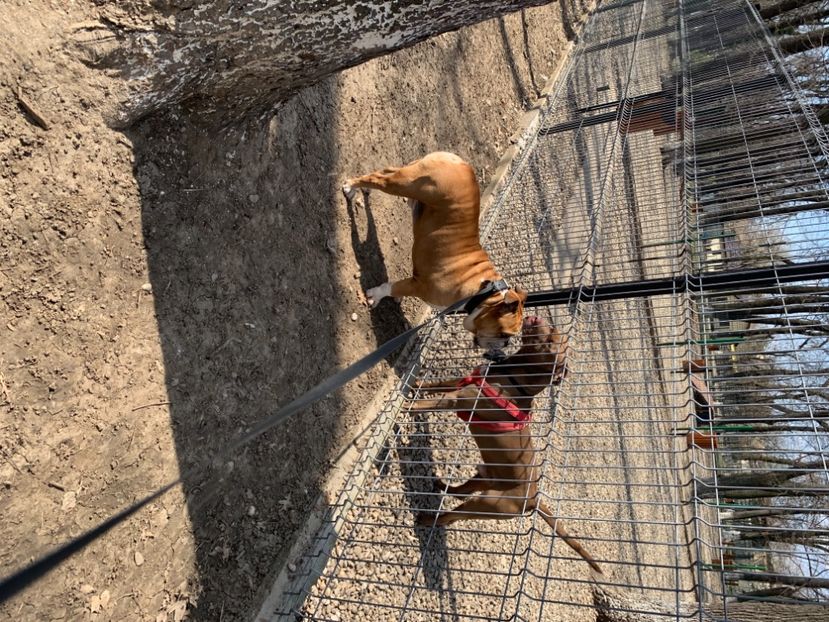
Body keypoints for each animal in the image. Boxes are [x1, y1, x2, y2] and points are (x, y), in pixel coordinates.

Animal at [342, 151, 524, 354]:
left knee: (385, 171)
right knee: (377, 178)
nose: (506, 345)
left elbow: (398, 287)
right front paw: (376, 295)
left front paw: (396, 297)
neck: (483, 292)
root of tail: (459, 162)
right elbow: (390, 287)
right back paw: (350, 187)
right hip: (405, 185)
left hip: (409, 181)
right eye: (504, 334)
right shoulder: (419, 286)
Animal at [404, 320, 600, 576]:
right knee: (460, 492)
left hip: (486, 504)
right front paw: (417, 383)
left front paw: (407, 407)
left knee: (450, 517)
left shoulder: (457, 398)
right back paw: (441, 485)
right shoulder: (463, 382)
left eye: (550, 342)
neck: (514, 378)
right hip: (484, 477)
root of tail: (533, 499)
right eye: (552, 329)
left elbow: (426, 402)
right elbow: (435, 384)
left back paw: (427, 519)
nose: (536, 319)